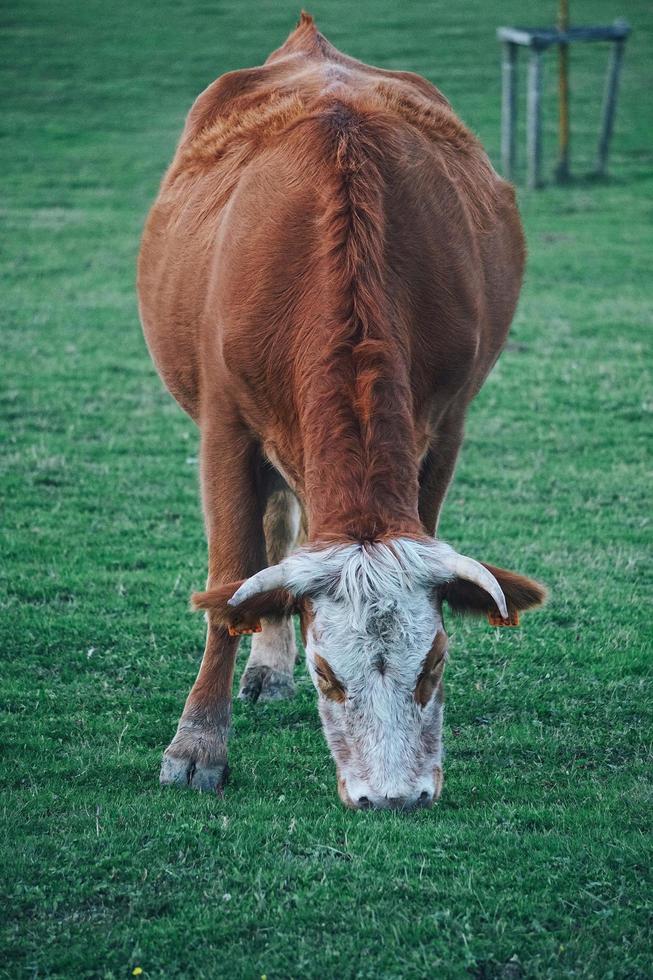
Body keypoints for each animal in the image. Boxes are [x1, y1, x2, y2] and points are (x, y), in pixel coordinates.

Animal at [138, 15, 544, 808]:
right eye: (327, 672)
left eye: (436, 661)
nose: (393, 797)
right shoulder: (224, 425)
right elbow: (231, 575)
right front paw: (197, 743)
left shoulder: (445, 424)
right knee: (271, 531)